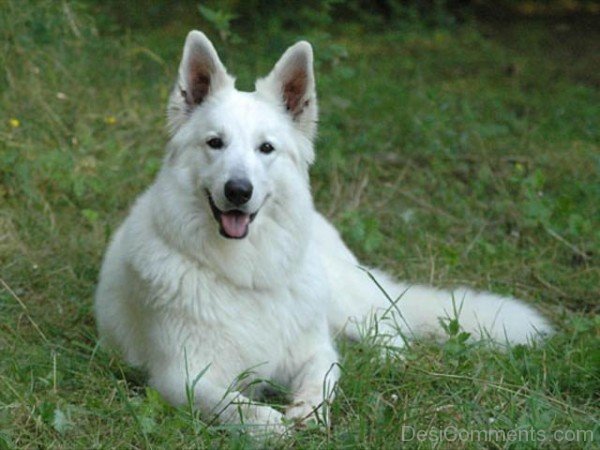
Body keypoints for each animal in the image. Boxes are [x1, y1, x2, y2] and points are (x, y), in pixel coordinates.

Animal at [95, 31, 552, 436]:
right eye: (214, 143)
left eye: (266, 148)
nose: (239, 191)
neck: (245, 276)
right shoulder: (183, 376)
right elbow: (237, 406)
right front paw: (274, 425)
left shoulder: (313, 349)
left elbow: (324, 374)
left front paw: (308, 411)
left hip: (345, 303)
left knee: (392, 332)